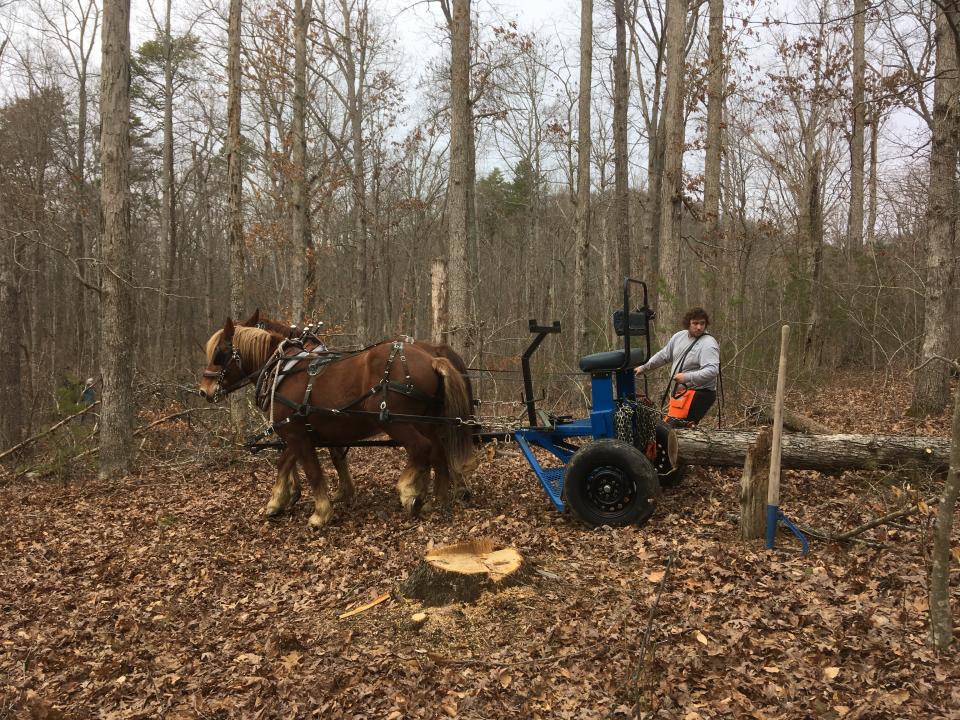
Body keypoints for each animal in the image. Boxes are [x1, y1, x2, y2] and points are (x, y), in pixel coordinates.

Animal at [200, 318, 476, 524]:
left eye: (220, 354)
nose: (204, 390)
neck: (283, 371)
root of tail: (433, 357)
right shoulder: (300, 430)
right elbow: (286, 461)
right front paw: (278, 500)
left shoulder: (297, 433)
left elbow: (312, 470)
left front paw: (321, 513)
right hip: (425, 420)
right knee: (438, 451)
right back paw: (438, 499)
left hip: (394, 421)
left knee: (422, 448)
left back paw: (409, 491)